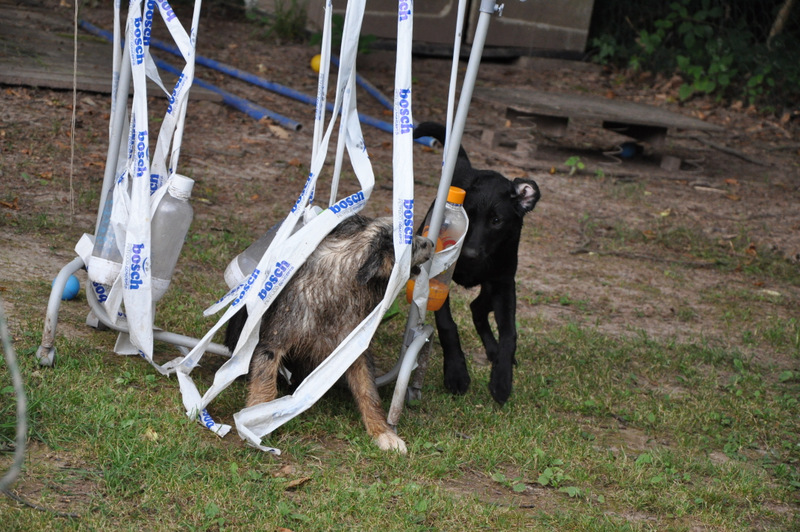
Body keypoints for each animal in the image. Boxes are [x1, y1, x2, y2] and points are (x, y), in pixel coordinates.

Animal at [227, 215, 432, 454]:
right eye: (412, 243)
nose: (431, 242)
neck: (339, 288)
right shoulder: (272, 343)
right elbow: (264, 384)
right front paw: (255, 423)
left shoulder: (354, 349)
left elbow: (368, 392)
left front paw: (383, 432)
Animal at [416, 121, 540, 404]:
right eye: (468, 217)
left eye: (496, 221)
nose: (469, 254)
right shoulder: (439, 280)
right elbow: (447, 325)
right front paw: (456, 373)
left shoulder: (504, 284)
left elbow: (510, 333)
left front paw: (502, 379)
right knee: (475, 308)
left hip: (494, 284)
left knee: (477, 307)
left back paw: (493, 352)